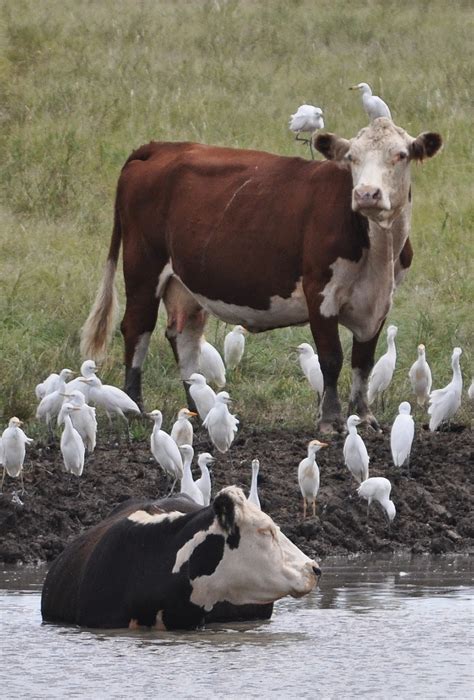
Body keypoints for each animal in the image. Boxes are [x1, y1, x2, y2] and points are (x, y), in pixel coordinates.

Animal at [81, 117, 440, 430]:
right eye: (352, 157)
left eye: (401, 155)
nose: (366, 194)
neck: (379, 251)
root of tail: (159, 147)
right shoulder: (319, 291)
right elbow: (331, 358)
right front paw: (330, 420)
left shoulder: (379, 302)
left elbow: (362, 362)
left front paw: (363, 417)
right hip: (143, 266)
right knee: (136, 329)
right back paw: (136, 406)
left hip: (185, 281)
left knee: (184, 338)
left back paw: (196, 409)